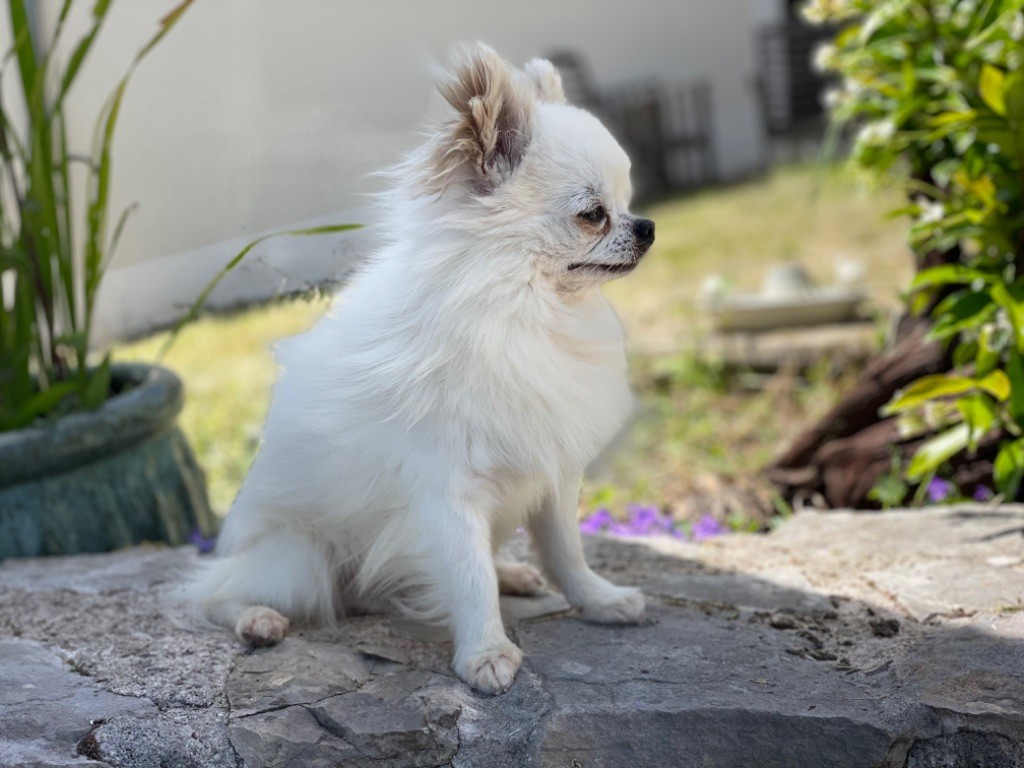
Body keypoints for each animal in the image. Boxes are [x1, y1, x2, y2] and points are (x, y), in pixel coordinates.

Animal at [192, 43, 655, 696]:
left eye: (629, 201)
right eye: (593, 215)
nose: (647, 226)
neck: (523, 312)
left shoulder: (552, 472)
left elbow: (566, 551)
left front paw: (599, 600)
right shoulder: (446, 493)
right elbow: (467, 576)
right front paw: (486, 652)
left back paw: (512, 573)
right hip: (297, 559)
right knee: (212, 594)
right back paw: (256, 619)